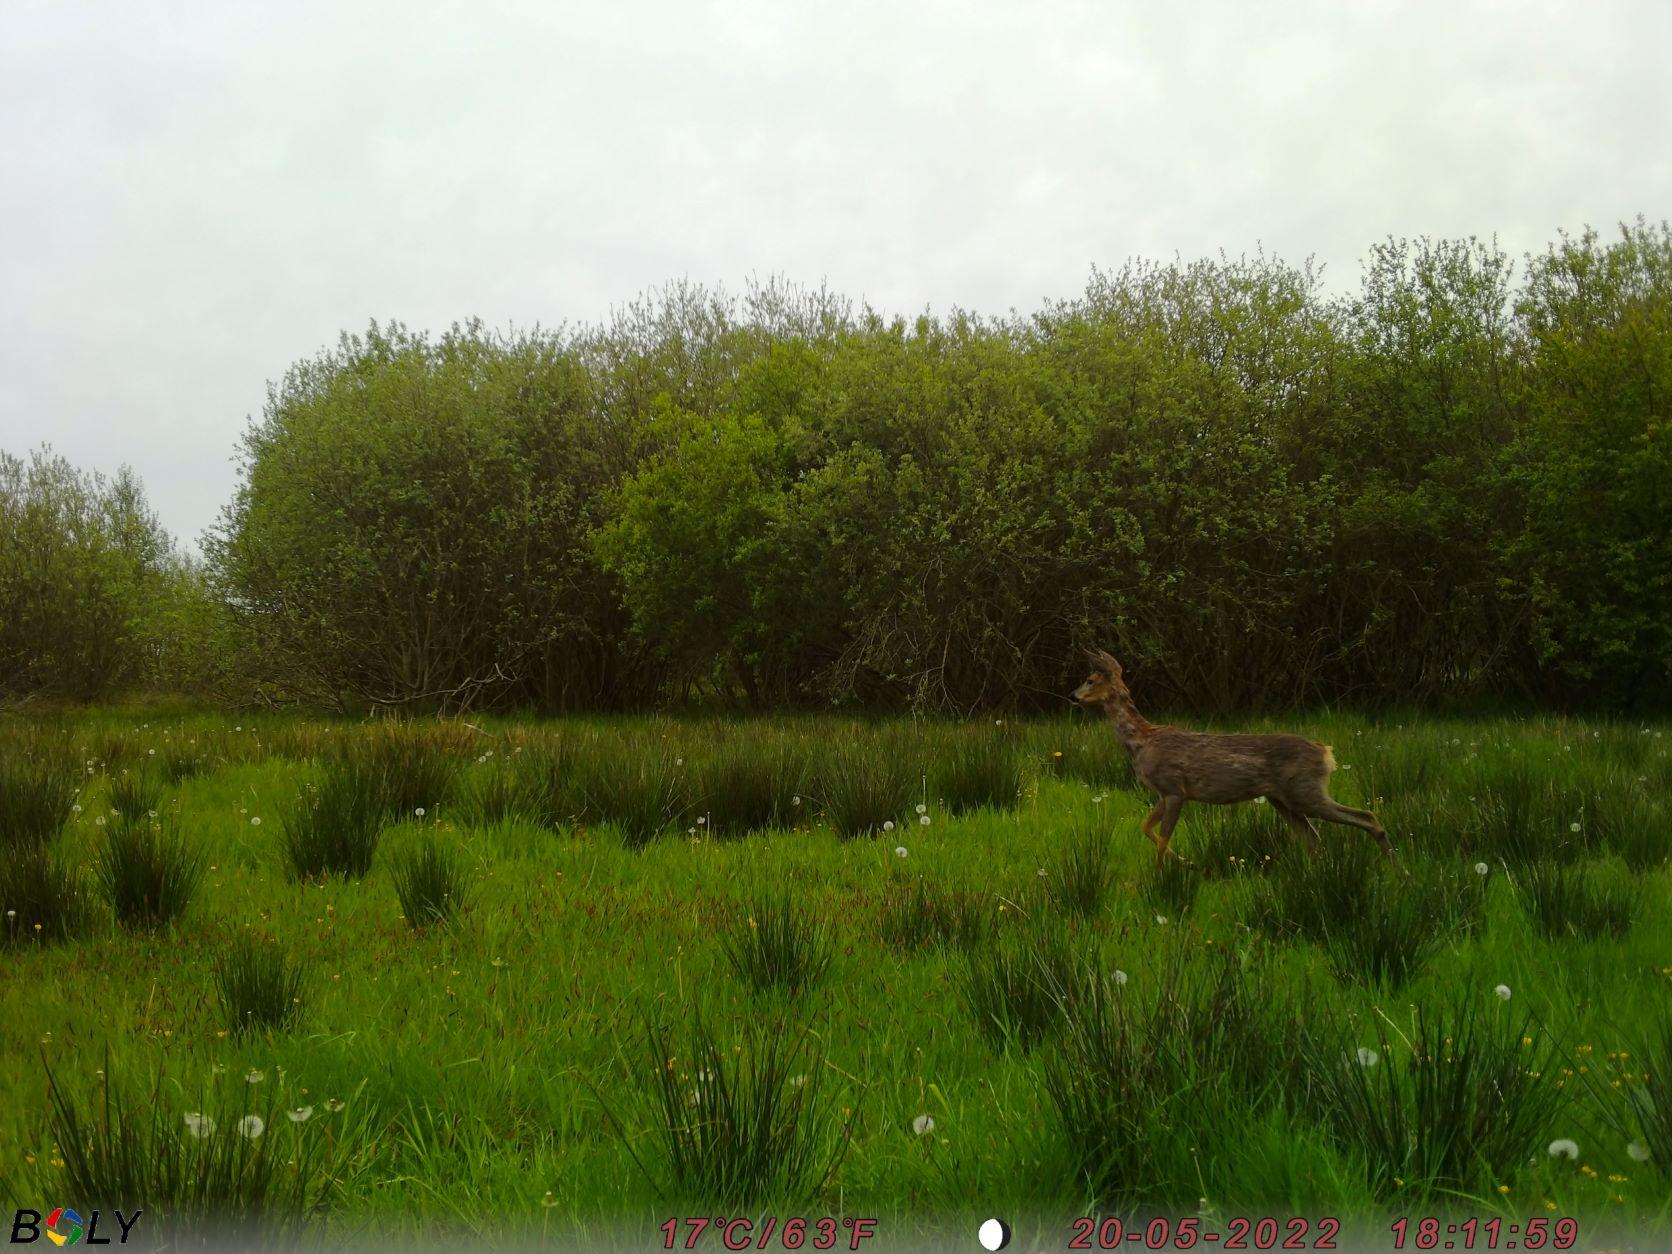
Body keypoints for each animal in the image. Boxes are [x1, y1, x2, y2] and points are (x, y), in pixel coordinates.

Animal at [1070, 649, 1401, 871]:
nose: (1073, 696)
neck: (1141, 742)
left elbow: (1162, 837)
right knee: (1314, 839)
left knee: (1366, 817)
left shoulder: (1174, 788)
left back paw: (1398, 868)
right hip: (1283, 800)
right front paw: (1185, 861)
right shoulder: (1162, 793)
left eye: (1090, 679)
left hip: (1305, 791)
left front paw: (1161, 875)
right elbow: (1146, 828)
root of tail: (1326, 752)